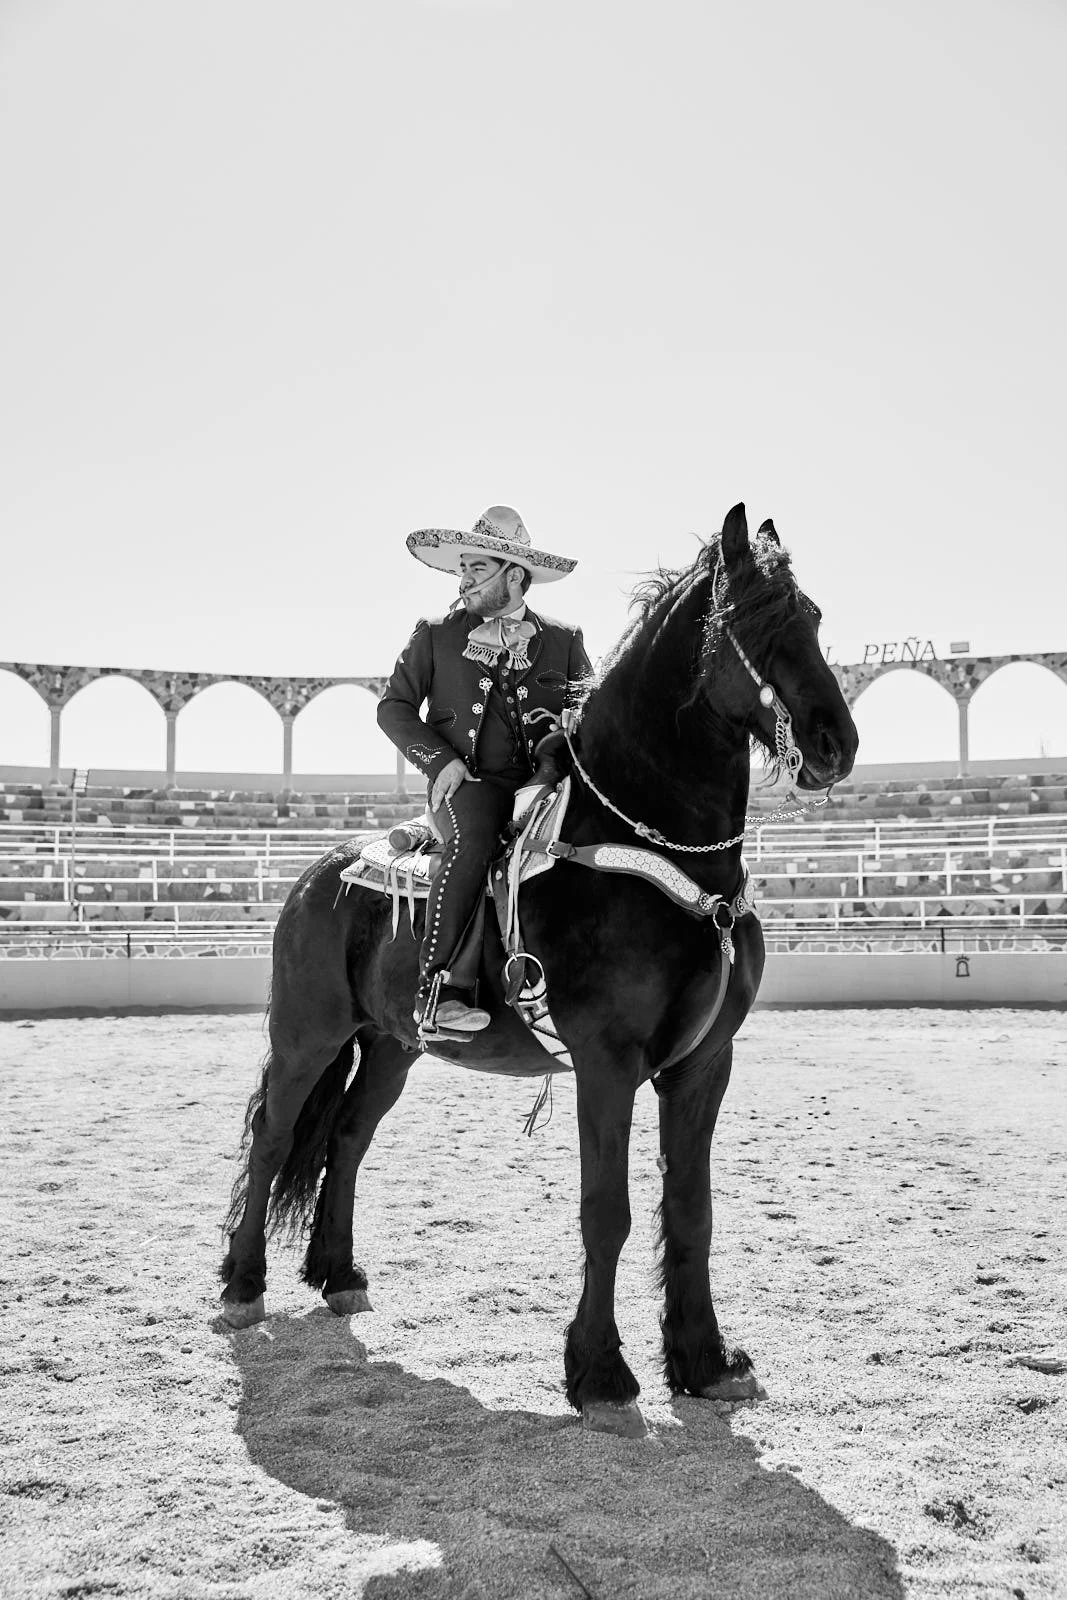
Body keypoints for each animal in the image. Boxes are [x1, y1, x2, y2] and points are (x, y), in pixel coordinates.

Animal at [220, 503, 858, 1437]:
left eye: (809, 616)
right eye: (753, 623)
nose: (834, 744)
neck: (662, 854)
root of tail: (319, 876)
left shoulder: (704, 1063)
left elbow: (690, 1209)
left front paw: (705, 1363)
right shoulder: (606, 1062)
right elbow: (608, 1213)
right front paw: (601, 1376)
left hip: (392, 1044)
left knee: (346, 1136)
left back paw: (339, 1276)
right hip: (309, 1032)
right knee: (272, 1136)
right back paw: (241, 1285)